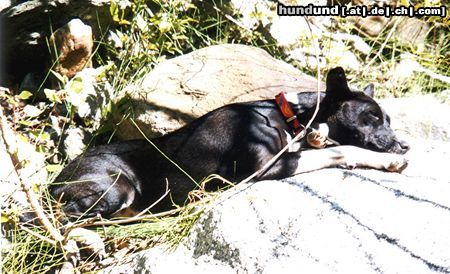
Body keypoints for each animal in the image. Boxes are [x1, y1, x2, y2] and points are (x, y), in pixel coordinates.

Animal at [51, 67, 410, 219]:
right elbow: (341, 149)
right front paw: (387, 161)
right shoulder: (264, 167)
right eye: (372, 117)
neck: (286, 114)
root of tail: (55, 181)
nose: (405, 146)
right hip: (116, 189)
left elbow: (321, 145)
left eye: (389, 119)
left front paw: (318, 137)